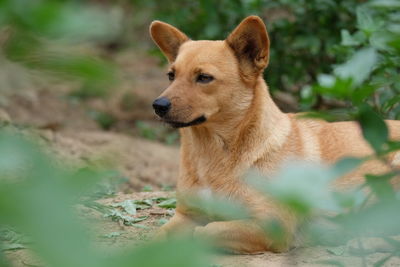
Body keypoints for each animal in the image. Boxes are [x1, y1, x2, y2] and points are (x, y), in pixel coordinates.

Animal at [149, 15, 400, 254]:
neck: (212, 154)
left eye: (204, 77)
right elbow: (156, 238)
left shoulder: (270, 226)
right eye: (171, 75)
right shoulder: (186, 215)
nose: (158, 105)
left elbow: (206, 231)